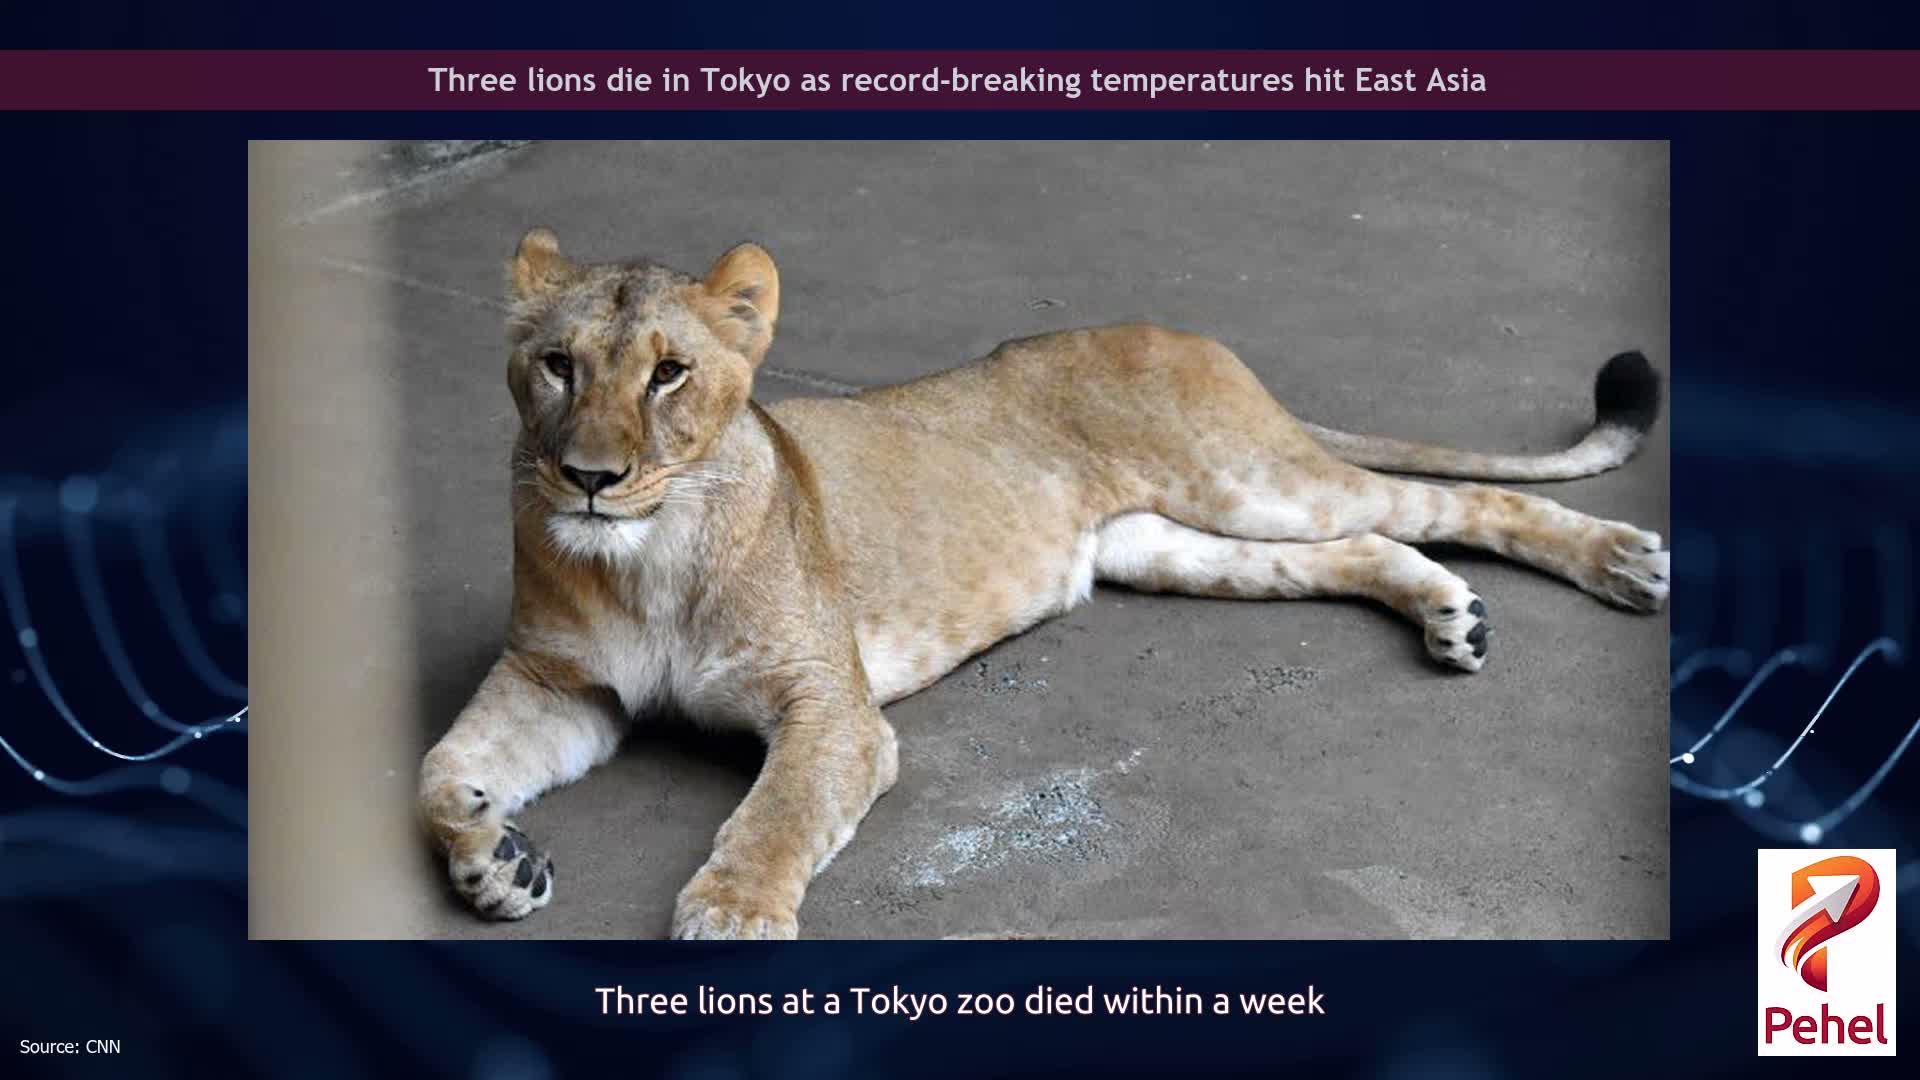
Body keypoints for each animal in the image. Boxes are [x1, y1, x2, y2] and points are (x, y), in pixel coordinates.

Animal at [418, 229, 1667, 939]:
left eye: (670, 374)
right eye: (558, 365)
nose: (589, 478)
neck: (647, 557)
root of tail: (1177, 330)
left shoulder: (834, 709)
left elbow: (778, 815)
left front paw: (732, 917)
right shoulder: (561, 686)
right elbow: (438, 775)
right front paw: (495, 860)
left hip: (1250, 480)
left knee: (1450, 502)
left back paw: (1620, 563)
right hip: (1170, 545)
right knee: (1358, 549)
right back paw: (1451, 614)